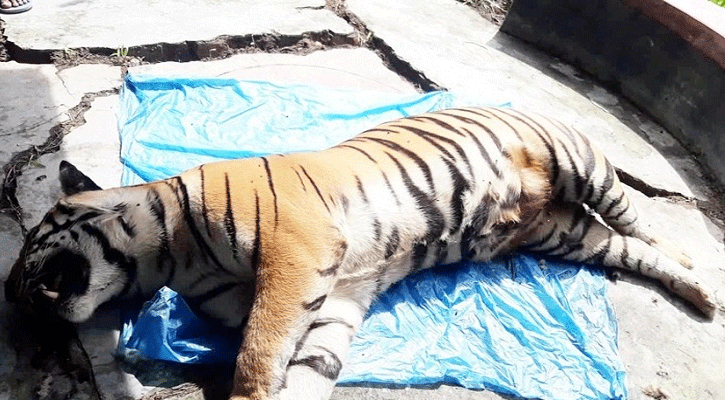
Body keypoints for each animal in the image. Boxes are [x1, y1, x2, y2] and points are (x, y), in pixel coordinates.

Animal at [4, 107, 717, 400]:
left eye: (31, 244)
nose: (10, 295)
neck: (172, 256)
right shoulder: (332, 299)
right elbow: (305, 364)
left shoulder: (297, 253)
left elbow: (258, 354)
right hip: (560, 233)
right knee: (622, 247)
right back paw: (702, 294)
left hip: (581, 167)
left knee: (639, 222)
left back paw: (700, 275)